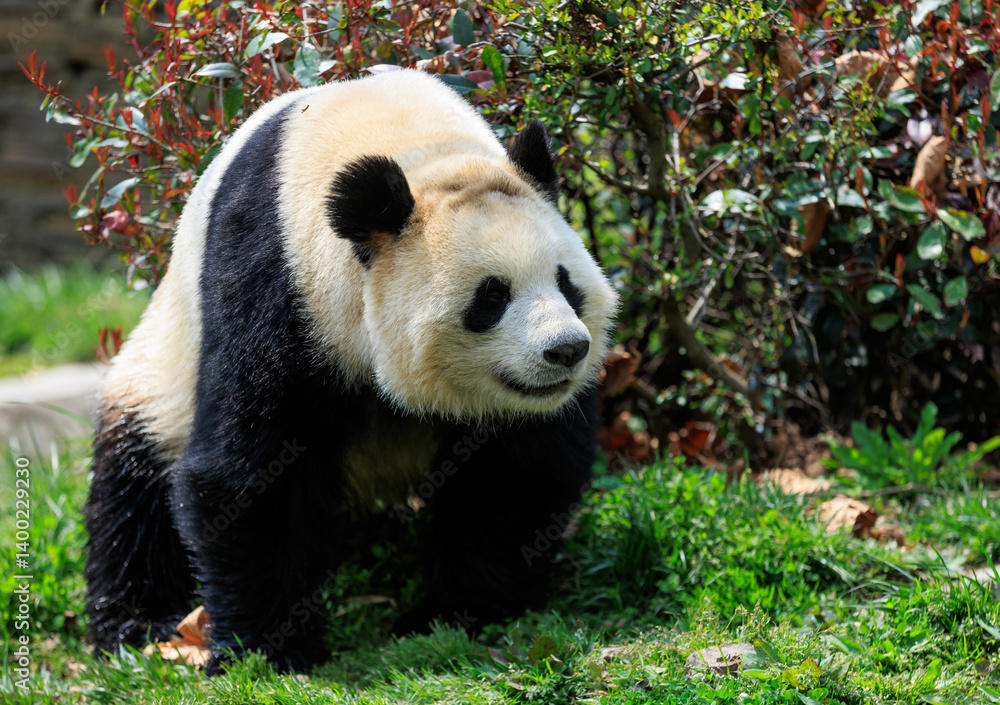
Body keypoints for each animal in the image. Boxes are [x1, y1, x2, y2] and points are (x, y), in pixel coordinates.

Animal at [84, 68, 618, 673]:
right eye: (492, 296)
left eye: (566, 282)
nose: (567, 350)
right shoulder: (274, 281)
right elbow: (252, 469)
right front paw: (269, 647)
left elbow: (518, 471)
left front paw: (458, 610)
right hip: (159, 370)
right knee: (133, 490)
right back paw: (139, 625)